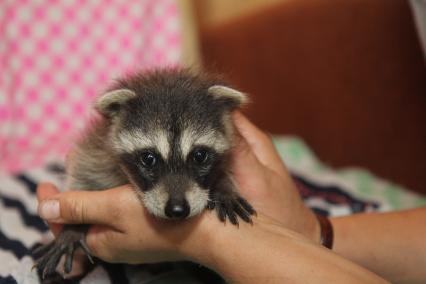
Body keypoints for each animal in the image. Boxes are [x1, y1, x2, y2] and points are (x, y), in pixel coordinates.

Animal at [35, 69, 255, 280]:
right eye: (148, 158)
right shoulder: (97, 153)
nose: (177, 209)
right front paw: (72, 230)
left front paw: (223, 186)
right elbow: (85, 177)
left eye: (199, 156)